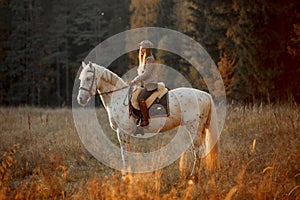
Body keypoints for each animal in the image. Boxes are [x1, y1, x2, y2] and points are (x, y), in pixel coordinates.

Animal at [77, 61, 218, 174]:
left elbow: (124, 155)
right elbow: (127, 154)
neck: (117, 96)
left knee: (198, 151)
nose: (81, 99)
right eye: (80, 79)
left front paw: (125, 176)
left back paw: (193, 176)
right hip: (200, 130)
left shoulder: (121, 132)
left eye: (88, 78)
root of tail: (205, 95)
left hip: (194, 128)